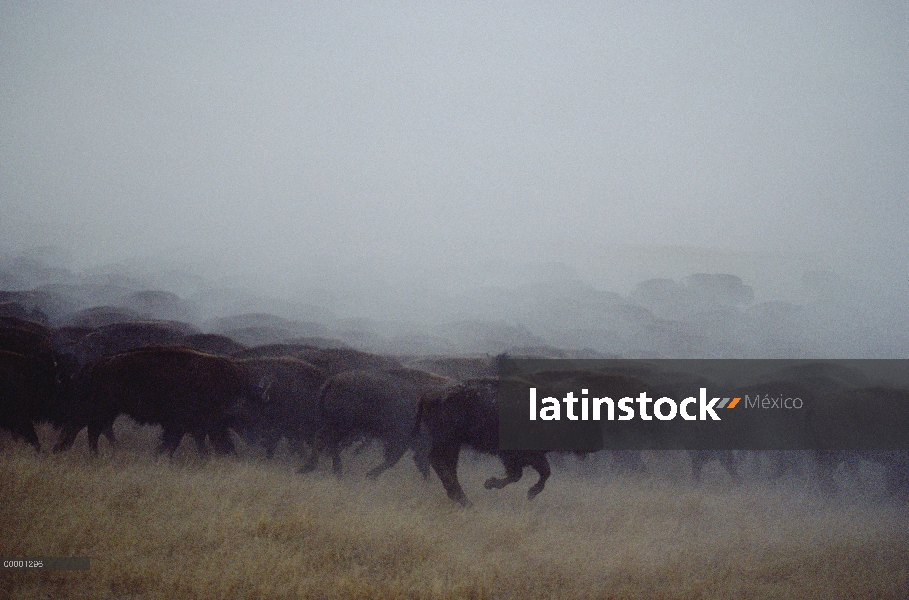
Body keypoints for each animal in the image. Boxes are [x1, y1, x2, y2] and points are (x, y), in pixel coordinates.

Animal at [54, 346, 255, 454]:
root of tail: (91, 366)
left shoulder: (192, 427)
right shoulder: (185, 425)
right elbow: (172, 443)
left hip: (107, 412)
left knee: (95, 430)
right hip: (97, 410)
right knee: (82, 428)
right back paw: (64, 450)